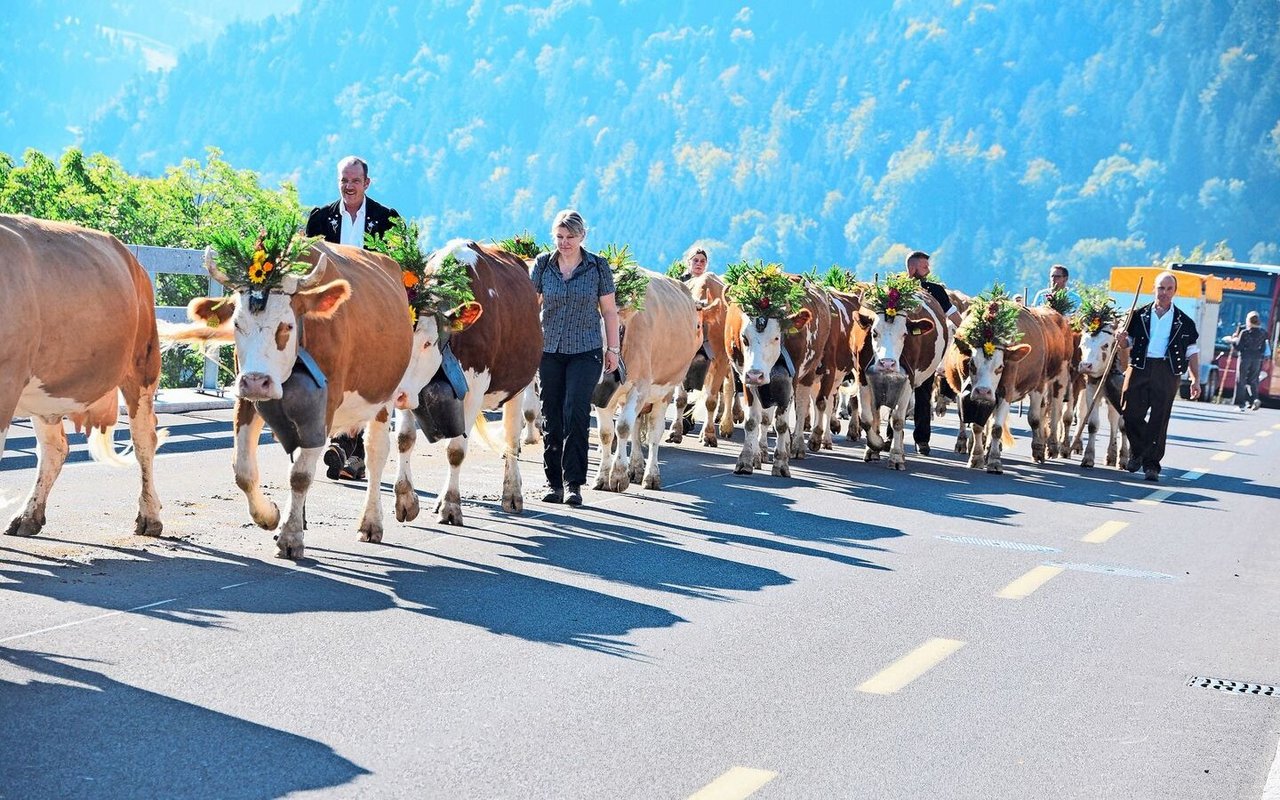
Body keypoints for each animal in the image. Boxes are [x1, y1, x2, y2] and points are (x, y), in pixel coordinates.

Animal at [0, 215, 165, 537]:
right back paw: (29, 516)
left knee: (144, 440)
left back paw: (150, 517)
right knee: (55, 448)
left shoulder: (6, 380)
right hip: (48, 389)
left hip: (142, 365)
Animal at [593, 271, 706, 488]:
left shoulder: (640, 387)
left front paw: (618, 475)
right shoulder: (603, 397)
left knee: (655, 431)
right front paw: (602, 476)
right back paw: (636, 467)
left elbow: (622, 428)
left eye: (616, 331)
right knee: (637, 427)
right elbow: (606, 433)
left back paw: (651, 475)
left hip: (665, 391)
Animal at [721, 261, 829, 473]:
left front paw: (781, 462)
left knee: (801, 409)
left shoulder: (791, 379)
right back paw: (761, 452)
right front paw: (747, 459)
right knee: (764, 417)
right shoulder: (745, 376)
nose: (756, 374)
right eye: (744, 338)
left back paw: (795, 446)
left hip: (808, 375)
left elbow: (782, 423)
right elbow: (753, 420)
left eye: (776, 337)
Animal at [849, 271, 952, 468]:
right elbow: (867, 418)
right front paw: (875, 445)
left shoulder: (908, 379)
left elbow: (897, 419)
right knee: (875, 413)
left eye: (904, 334)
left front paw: (896, 456)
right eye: (874, 332)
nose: (887, 363)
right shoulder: (862, 376)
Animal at [947, 285, 1075, 471]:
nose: (983, 391)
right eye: (971, 364)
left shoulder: (1006, 390)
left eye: (1000, 367)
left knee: (1049, 413)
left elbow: (997, 428)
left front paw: (994, 461)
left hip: (1055, 378)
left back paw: (1047, 447)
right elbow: (978, 426)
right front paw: (977, 456)